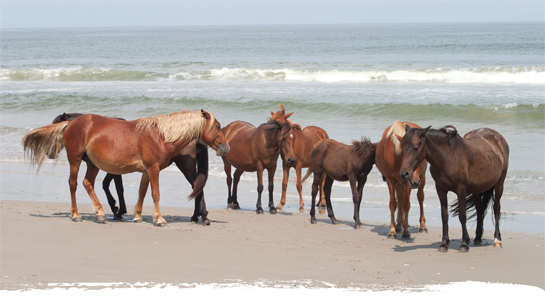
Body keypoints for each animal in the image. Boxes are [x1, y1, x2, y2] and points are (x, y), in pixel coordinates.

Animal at [22, 109, 227, 227]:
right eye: (217, 126)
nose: (226, 148)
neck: (161, 135)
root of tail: (71, 123)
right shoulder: (152, 169)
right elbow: (155, 193)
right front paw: (159, 219)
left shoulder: (147, 171)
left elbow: (141, 192)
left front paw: (136, 216)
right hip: (76, 161)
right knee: (73, 184)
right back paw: (76, 215)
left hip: (93, 164)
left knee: (87, 183)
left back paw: (100, 214)